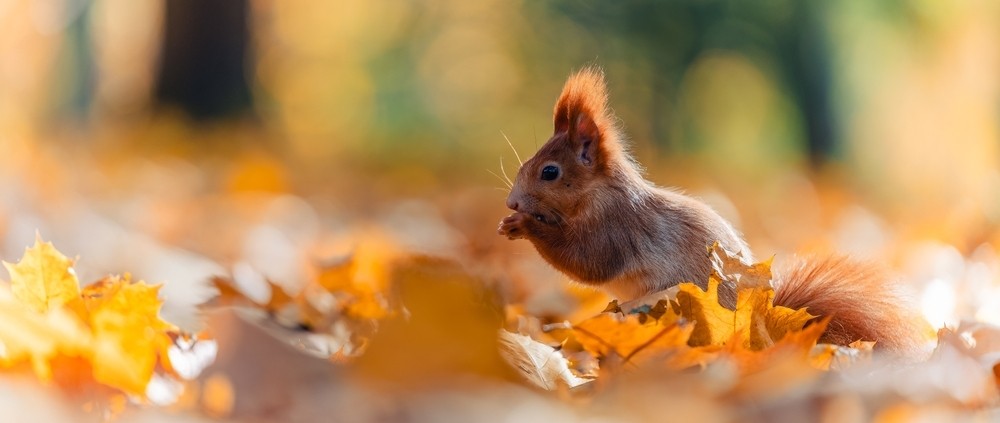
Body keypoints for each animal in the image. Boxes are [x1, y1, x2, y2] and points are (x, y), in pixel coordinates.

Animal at [500, 68, 928, 360]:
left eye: (550, 172)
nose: (512, 203)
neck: (596, 195)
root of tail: (761, 331)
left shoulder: (618, 227)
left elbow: (589, 263)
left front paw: (525, 226)